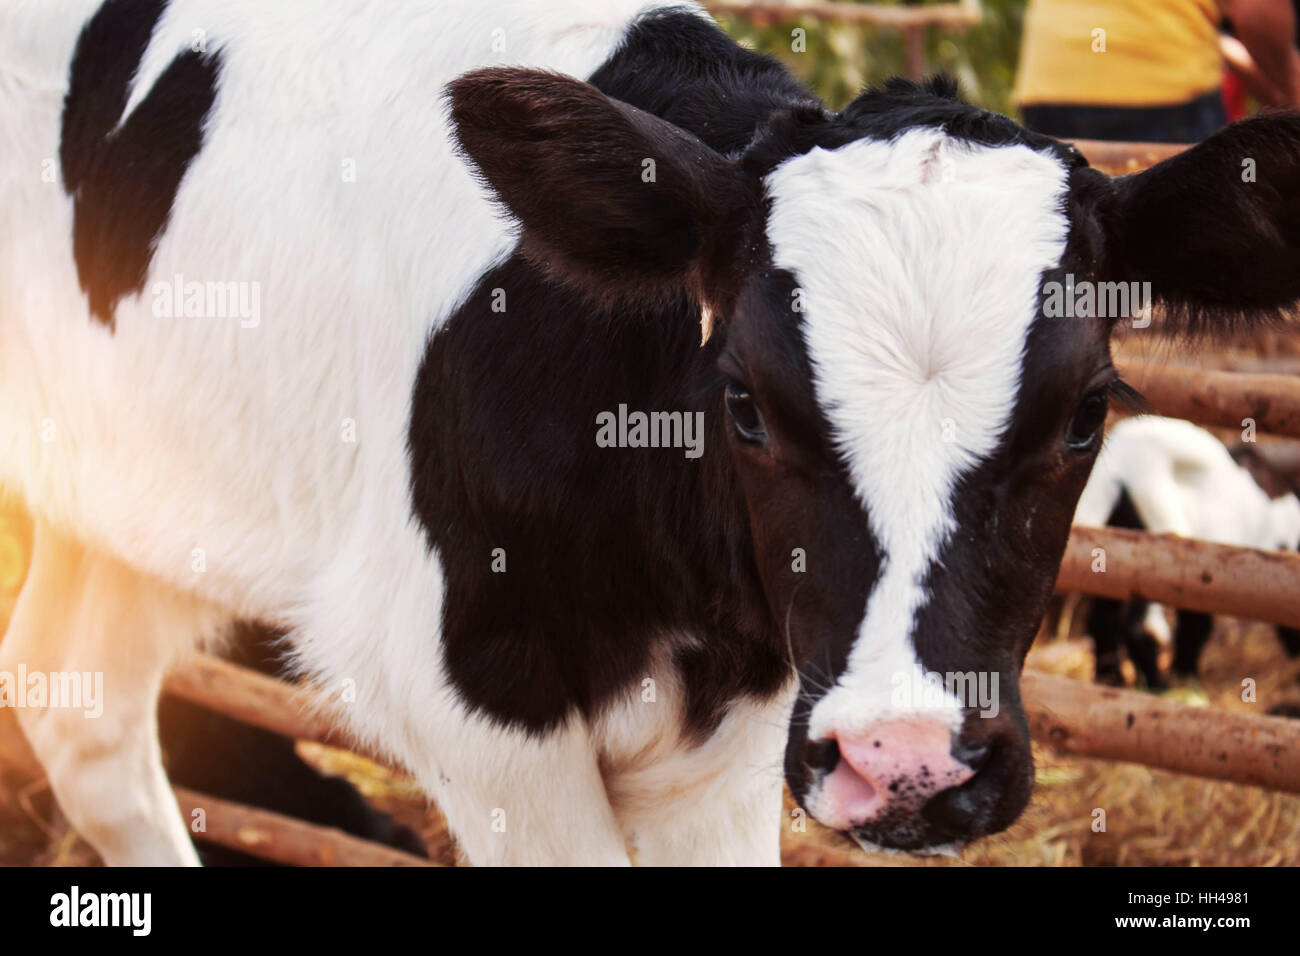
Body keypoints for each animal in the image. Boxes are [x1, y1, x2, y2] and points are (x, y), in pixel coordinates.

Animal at [1074, 415, 1300, 688]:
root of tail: (1116, 470)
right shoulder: (1210, 576)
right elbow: (1197, 625)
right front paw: (1187, 676)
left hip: (1114, 553)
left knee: (1103, 618)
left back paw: (1112, 678)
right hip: (1156, 541)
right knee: (1141, 627)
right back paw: (1159, 685)